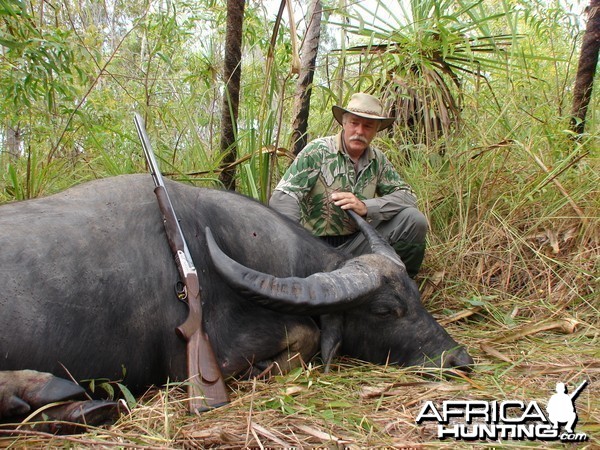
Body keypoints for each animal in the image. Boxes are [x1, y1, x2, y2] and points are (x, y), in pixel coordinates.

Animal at [0, 175, 474, 426]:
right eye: (385, 310)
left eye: (415, 295)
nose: (460, 359)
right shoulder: (210, 357)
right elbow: (304, 336)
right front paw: (264, 370)